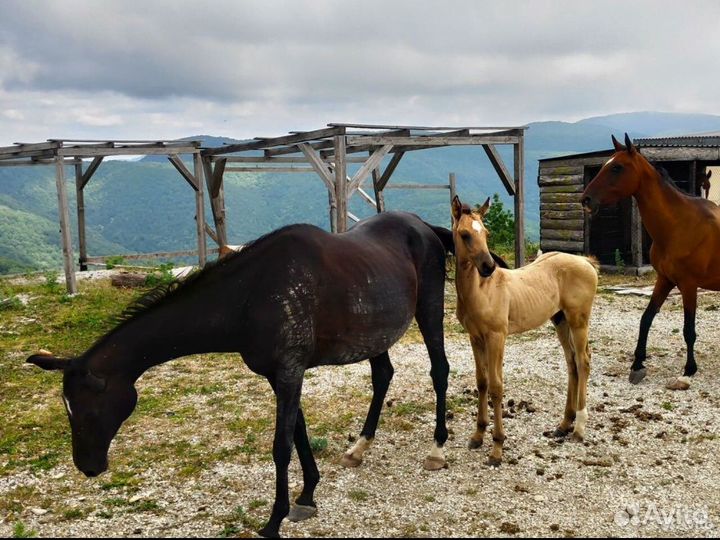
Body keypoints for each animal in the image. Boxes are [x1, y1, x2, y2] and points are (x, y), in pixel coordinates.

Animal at [28, 212, 458, 540]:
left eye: (88, 408)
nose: (88, 466)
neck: (250, 296)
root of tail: (422, 225)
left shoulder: (289, 372)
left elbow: (281, 446)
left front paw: (274, 520)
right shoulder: (280, 374)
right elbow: (298, 433)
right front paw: (307, 494)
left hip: (429, 308)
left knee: (439, 371)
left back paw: (437, 449)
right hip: (375, 335)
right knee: (383, 375)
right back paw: (359, 448)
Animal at [452, 196, 600, 466]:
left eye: (486, 233)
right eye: (465, 234)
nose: (488, 266)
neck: (481, 290)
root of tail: (585, 261)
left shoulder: (496, 337)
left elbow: (497, 387)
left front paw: (497, 448)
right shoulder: (475, 338)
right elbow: (482, 382)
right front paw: (478, 435)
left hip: (578, 320)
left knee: (583, 361)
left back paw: (579, 428)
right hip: (560, 320)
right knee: (572, 363)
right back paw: (564, 424)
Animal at [584, 135, 720, 388]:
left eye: (617, 167)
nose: (586, 199)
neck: (679, 225)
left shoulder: (688, 285)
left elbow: (688, 329)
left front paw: (689, 369)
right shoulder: (664, 280)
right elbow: (646, 319)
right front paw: (638, 364)